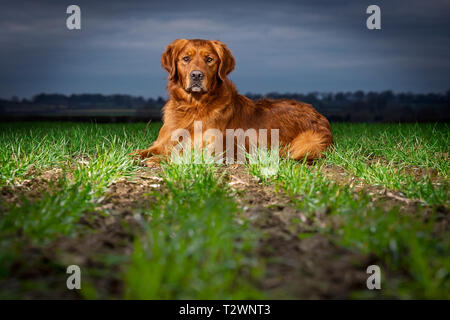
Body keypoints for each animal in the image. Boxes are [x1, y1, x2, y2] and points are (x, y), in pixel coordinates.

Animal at [132, 39, 332, 165]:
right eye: (186, 59)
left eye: (209, 59)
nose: (196, 75)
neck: (193, 107)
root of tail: (319, 115)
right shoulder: (161, 143)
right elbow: (141, 152)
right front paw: (134, 157)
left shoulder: (213, 150)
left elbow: (181, 154)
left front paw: (155, 160)